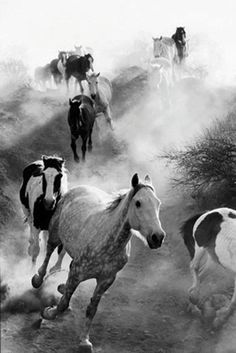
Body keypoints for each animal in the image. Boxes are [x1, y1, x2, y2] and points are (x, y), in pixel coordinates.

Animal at [31, 174, 166, 352]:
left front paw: (84, 342)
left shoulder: (105, 280)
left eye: (158, 203)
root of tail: (79, 188)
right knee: (48, 253)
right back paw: (38, 278)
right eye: (138, 203)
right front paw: (49, 313)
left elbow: (91, 310)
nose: (158, 237)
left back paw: (61, 286)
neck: (108, 243)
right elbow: (64, 302)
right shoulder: (77, 272)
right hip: (55, 234)